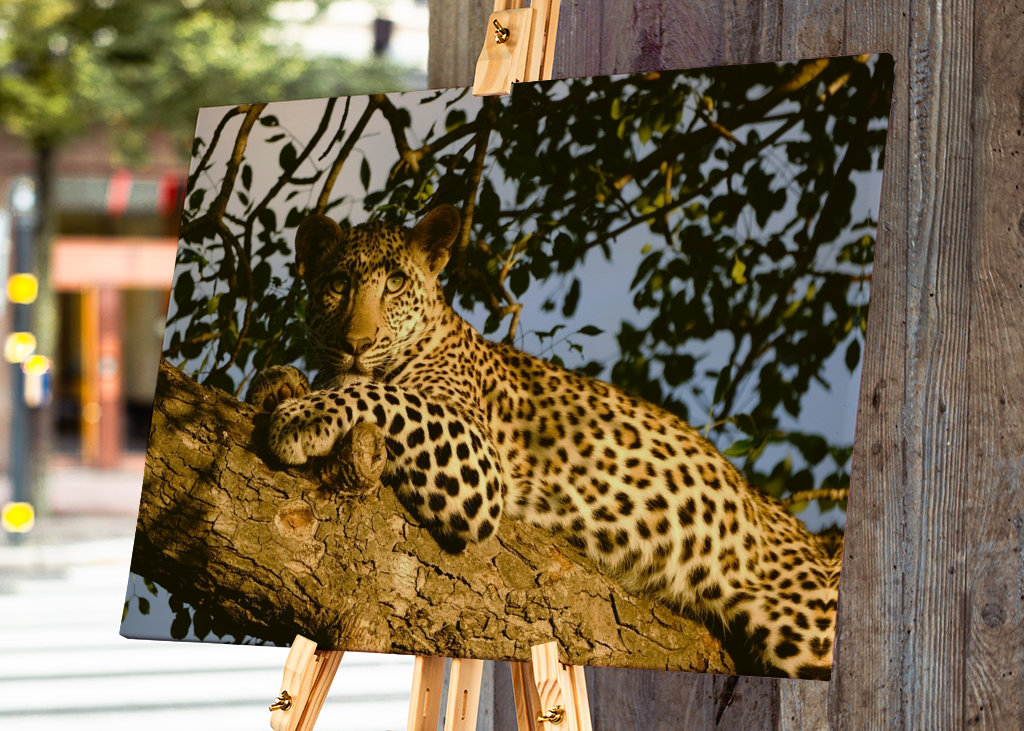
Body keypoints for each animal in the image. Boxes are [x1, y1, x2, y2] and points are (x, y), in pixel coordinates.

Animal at [246, 204, 842, 680]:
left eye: (393, 283)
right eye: (337, 284)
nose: (356, 343)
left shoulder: (476, 459)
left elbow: (383, 395)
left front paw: (301, 416)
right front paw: (280, 383)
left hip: (809, 626)